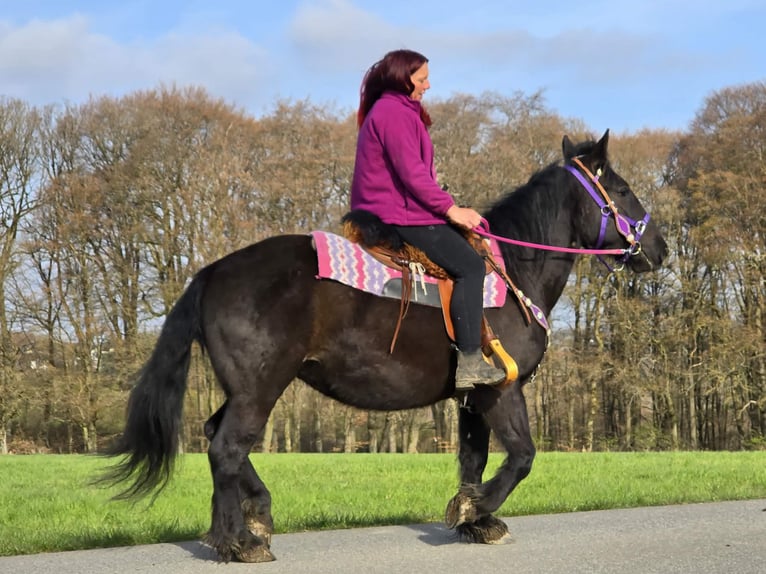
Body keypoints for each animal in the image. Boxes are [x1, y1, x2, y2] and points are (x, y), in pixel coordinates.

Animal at [100, 130, 668, 563]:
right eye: (621, 188)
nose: (658, 249)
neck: (510, 273)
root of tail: (214, 271)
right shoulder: (501, 390)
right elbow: (523, 456)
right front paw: (476, 508)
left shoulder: (470, 398)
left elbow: (474, 456)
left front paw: (476, 520)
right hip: (261, 387)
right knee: (226, 448)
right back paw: (237, 541)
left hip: (244, 388)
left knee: (218, 437)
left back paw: (257, 514)